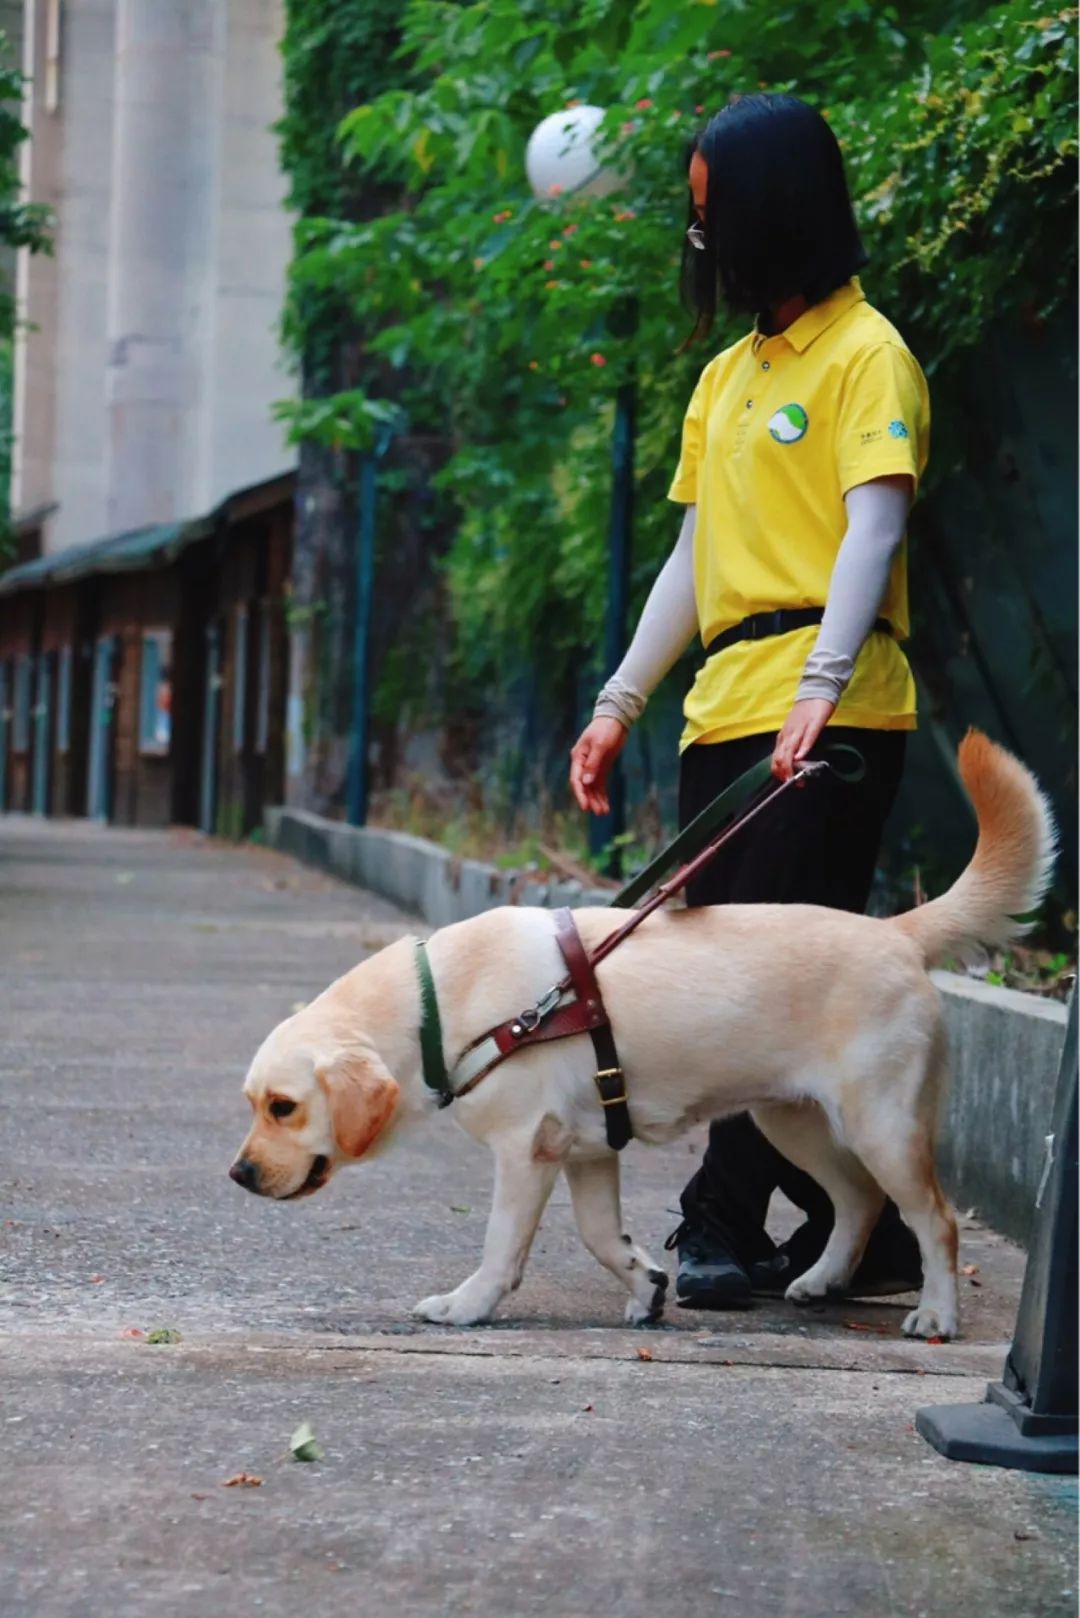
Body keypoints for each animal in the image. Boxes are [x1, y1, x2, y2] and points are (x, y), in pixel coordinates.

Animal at [229, 734, 1055, 1339]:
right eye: (253, 1104)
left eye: (283, 1107)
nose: (238, 1176)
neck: (441, 1004)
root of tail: (896, 931)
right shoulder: (587, 1152)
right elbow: (601, 1237)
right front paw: (647, 1286)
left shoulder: (525, 1152)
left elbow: (500, 1247)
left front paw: (466, 1306)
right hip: (792, 1121)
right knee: (858, 1202)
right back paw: (820, 1280)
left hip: (879, 1124)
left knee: (933, 1219)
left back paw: (938, 1315)